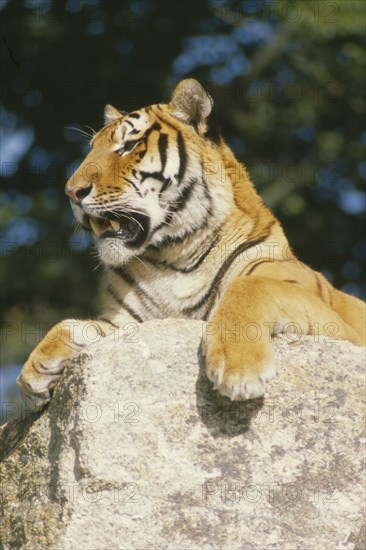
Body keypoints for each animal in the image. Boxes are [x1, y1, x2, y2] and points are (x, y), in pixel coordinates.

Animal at [17, 80, 366, 412]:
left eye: (128, 146)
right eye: (90, 150)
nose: (71, 192)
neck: (173, 258)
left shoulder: (340, 327)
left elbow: (250, 286)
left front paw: (238, 368)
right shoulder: (130, 323)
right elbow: (71, 325)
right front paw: (34, 372)